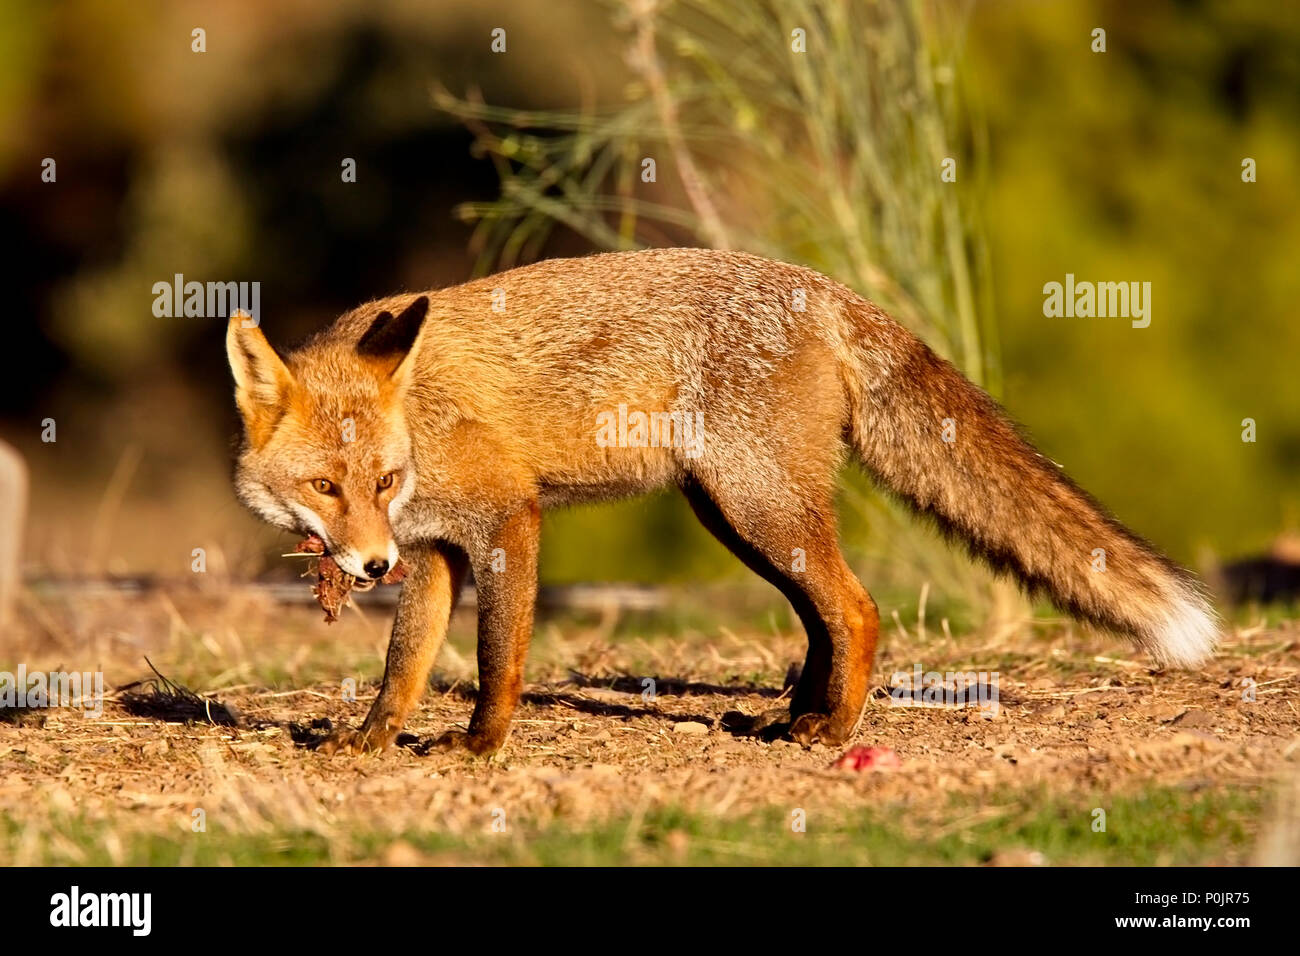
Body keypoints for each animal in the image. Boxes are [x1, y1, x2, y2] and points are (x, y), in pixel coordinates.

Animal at [226, 251, 1216, 759]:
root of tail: (822, 287)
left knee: (859, 610)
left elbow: (497, 656)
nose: (370, 565)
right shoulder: (433, 552)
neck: (420, 429)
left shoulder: (507, 518)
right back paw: (796, 715)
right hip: (734, 515)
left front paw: (482, 745)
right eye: (327, 487)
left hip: (756, 508)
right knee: (822, 621)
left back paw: (835, 730)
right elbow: (404, 666)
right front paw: (369, 740)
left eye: (380, 480)